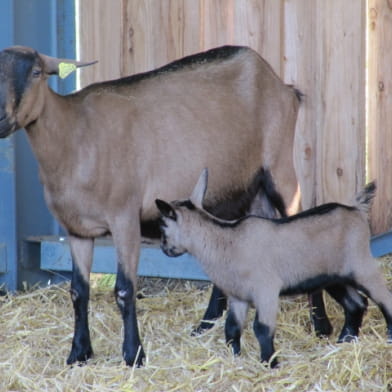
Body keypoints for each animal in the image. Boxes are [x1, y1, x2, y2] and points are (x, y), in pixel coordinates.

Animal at [0, 44, 360, 366]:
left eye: (36, 73)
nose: (2, 118)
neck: (75, 136)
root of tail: (280, 83)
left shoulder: (124, 217)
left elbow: (124, 290)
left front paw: (134, 354)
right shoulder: (76, 228)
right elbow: (78, 291)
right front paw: (78, 353)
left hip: (280, 167)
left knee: (298, 219)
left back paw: (321, 325)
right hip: (237, 185)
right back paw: (206, 324)